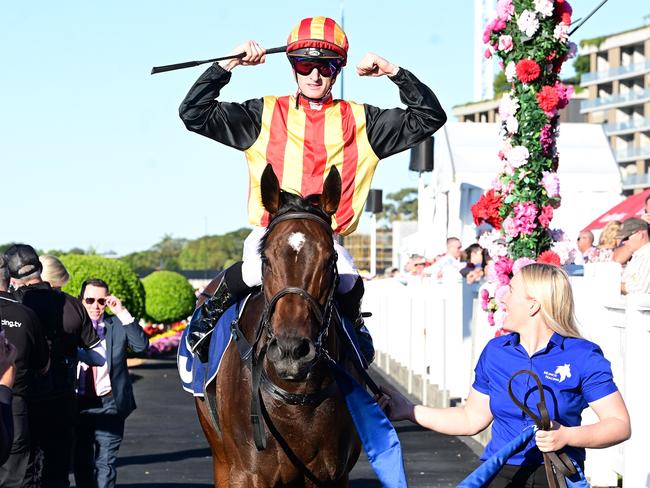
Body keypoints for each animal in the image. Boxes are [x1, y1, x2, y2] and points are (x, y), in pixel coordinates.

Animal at [195, 165, 362, 488]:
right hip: (220, 454)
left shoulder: (332, 475)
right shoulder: (246, 473)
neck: (296, 397)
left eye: (330, 258)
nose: (291, 351)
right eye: (266, 258)